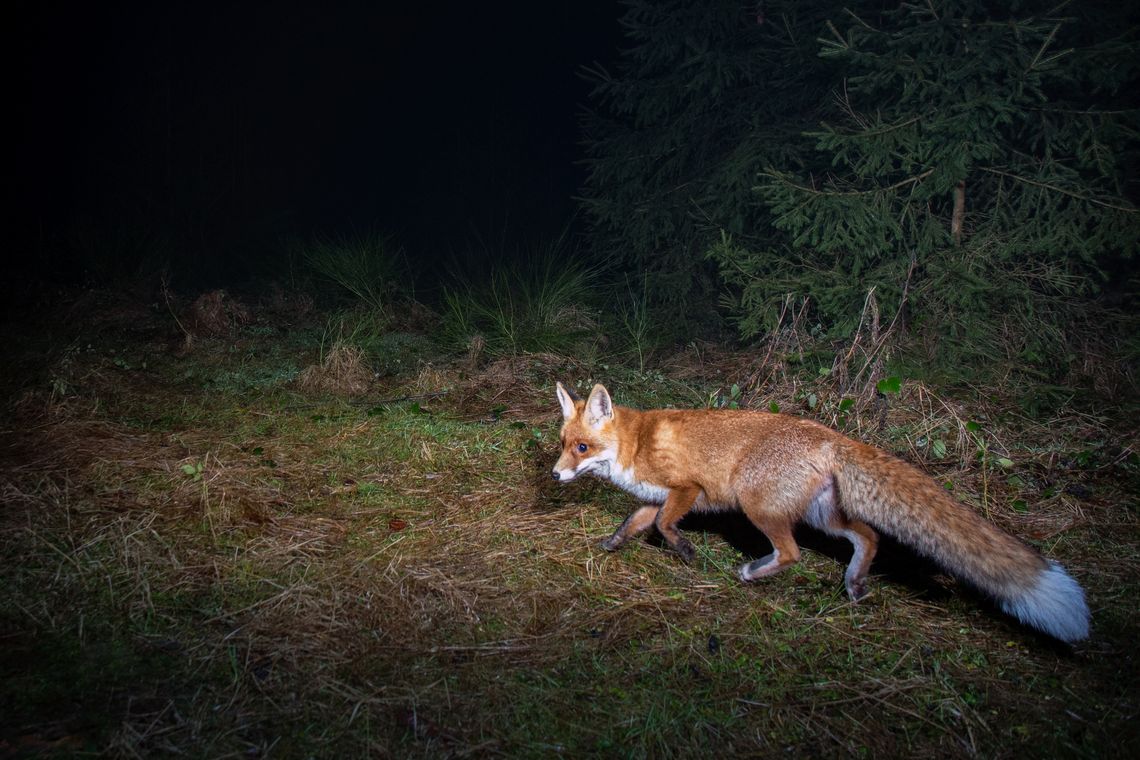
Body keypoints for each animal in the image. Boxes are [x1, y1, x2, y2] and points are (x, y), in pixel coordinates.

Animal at [556, 387, 1089, 642]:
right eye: (562, 444)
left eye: (581, 448)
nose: (556, 474)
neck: (635, 444)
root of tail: (832, 435)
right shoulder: (655, 496)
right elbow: (634, 524)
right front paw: (612, 545)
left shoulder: (687, 489)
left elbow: (667, 527)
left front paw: (685, 550)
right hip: (823, 516)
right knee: (868, 536)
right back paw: (853, 583)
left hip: (758, 507)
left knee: (793, 553)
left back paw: (755, 573)